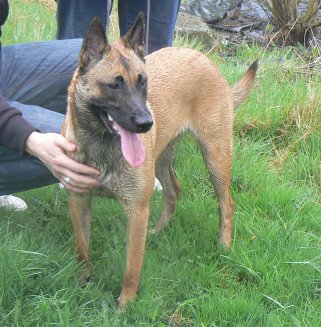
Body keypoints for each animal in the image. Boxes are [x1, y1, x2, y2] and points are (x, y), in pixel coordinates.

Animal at [60, 13, 258, 310]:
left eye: (143, 81)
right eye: (113, 85)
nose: (146, 123)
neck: (101, 147)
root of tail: (203, 57)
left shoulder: (137, 211)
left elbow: (132, 268)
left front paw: (125, 306)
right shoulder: (79, 200)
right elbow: (82, 249)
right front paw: (82, 284)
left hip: (216, 156)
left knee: (227, 204)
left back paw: (224, 245)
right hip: (162, 158)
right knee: (173, 189)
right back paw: (159, 230)